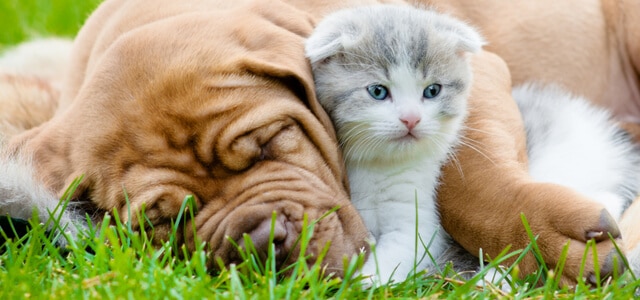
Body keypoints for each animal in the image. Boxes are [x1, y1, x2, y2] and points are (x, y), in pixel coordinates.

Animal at [304, 3, 480, 282]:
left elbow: (395, 254)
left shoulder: (417, 221)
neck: (377, 165)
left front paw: (364, 282)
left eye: (432, 91)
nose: (411, 119)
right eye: (378, 91)